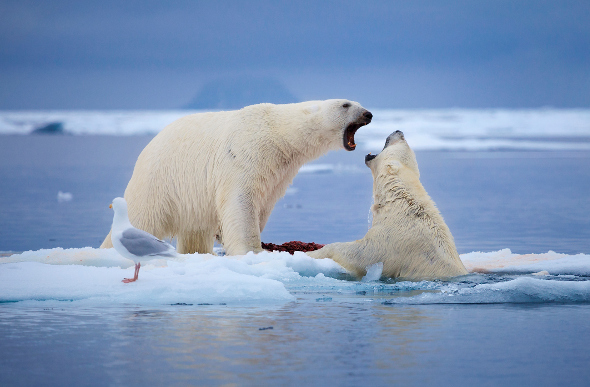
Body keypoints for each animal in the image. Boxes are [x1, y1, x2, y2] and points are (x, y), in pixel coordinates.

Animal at [308, 132, 470, 280]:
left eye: (403, 141)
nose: (399, 131)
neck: (399, 202)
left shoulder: (393, 238)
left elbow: (363, 253)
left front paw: (311, 252)